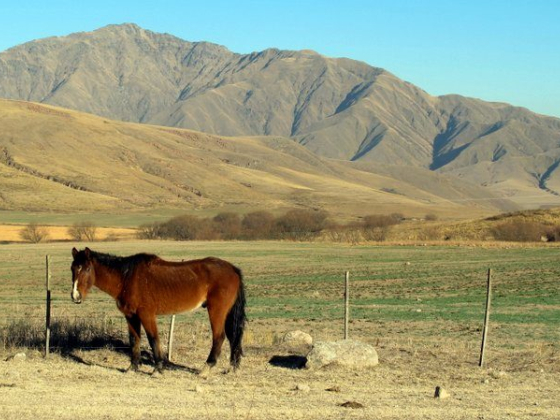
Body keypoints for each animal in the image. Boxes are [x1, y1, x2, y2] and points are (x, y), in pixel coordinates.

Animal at [70, 246, 245, 374]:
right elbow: (134, 340)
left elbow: (153, 339)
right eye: (72, 268)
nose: (75, 296)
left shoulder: (146, 315)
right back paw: (230, 368)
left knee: (219, 337)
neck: (127, 278)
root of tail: (232, 269)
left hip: (216, 311)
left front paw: (157, 369)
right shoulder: (131, 316)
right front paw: (132, 367)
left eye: (86, 269)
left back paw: (206, 369)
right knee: (232, 337)